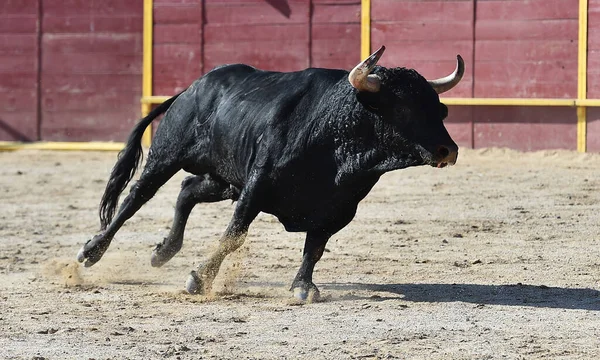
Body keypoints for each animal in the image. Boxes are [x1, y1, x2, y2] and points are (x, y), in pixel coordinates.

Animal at [77, 47, 464, 300]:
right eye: (403, 107)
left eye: (438, 108)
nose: (449, 150)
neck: (334, 132)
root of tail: (193, 87)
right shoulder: (256, 188)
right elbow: (234, 235)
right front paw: (199, 279)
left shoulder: (338, 209)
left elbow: (315, 247)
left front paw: (304, 288)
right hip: (167, 155)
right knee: (136, 197)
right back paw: (92, 250)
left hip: (224, 179)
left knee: (187, 190)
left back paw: (163, 252)